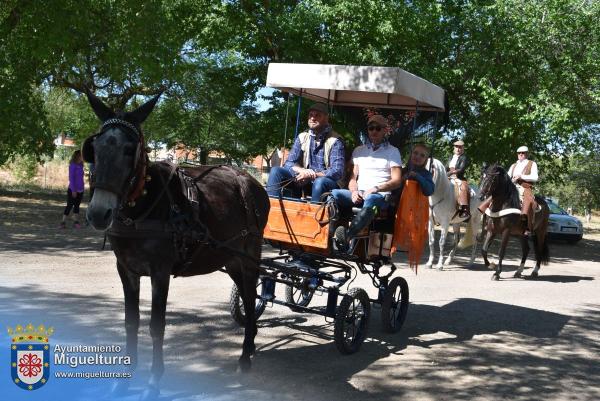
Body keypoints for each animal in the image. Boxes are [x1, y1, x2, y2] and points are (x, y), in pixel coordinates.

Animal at [82, 89, 270, 398]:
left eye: (129, 149)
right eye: (94, 148)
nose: (99, 213)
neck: (142, 205)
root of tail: (250, 181)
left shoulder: (160, 272)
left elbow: (156, 326)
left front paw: (153, 382)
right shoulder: (127, 270)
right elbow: (130, 322)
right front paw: (124, 380)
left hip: (249, 255)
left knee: (252, 295)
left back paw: (244, 356)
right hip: (230, 260)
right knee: (247, 295)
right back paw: (251, 343)